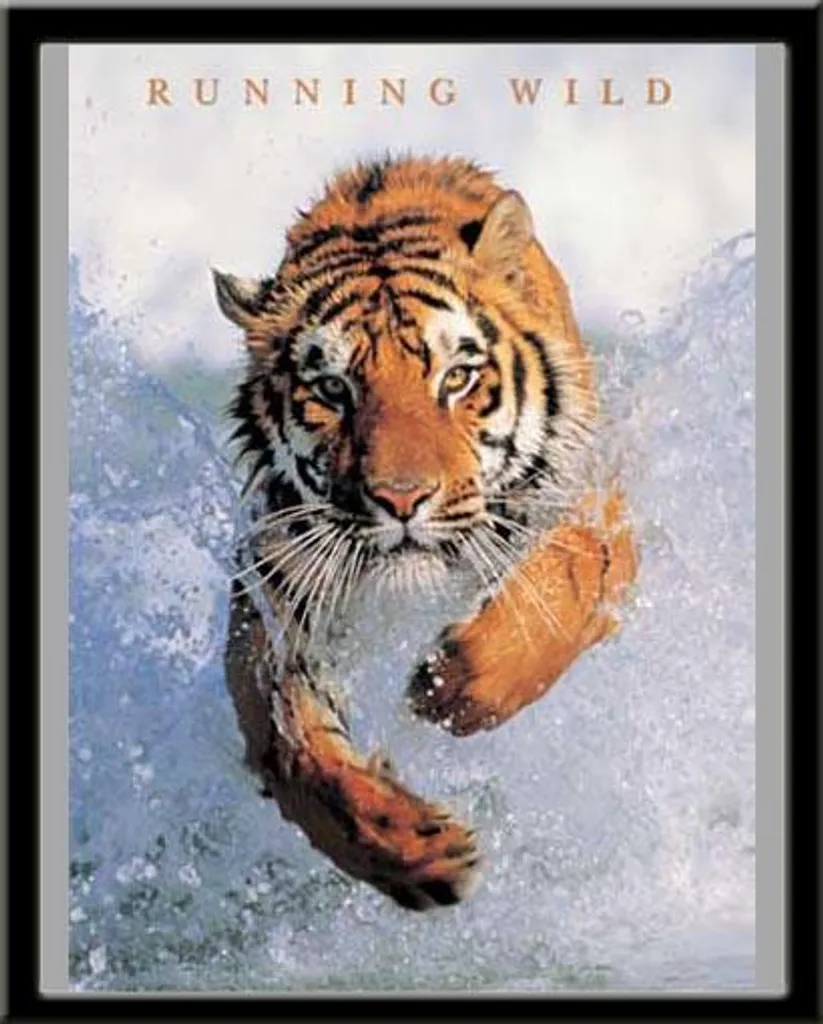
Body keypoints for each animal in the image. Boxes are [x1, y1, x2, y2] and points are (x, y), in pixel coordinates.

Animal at [212, 154, 638, 912]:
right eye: (333, 390)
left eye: (457, 377)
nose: (401, 499)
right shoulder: (275, 591)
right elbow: (297, 747)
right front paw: (414, 854)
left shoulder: (595, 506)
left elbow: (557, 590)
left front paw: (450, 686)